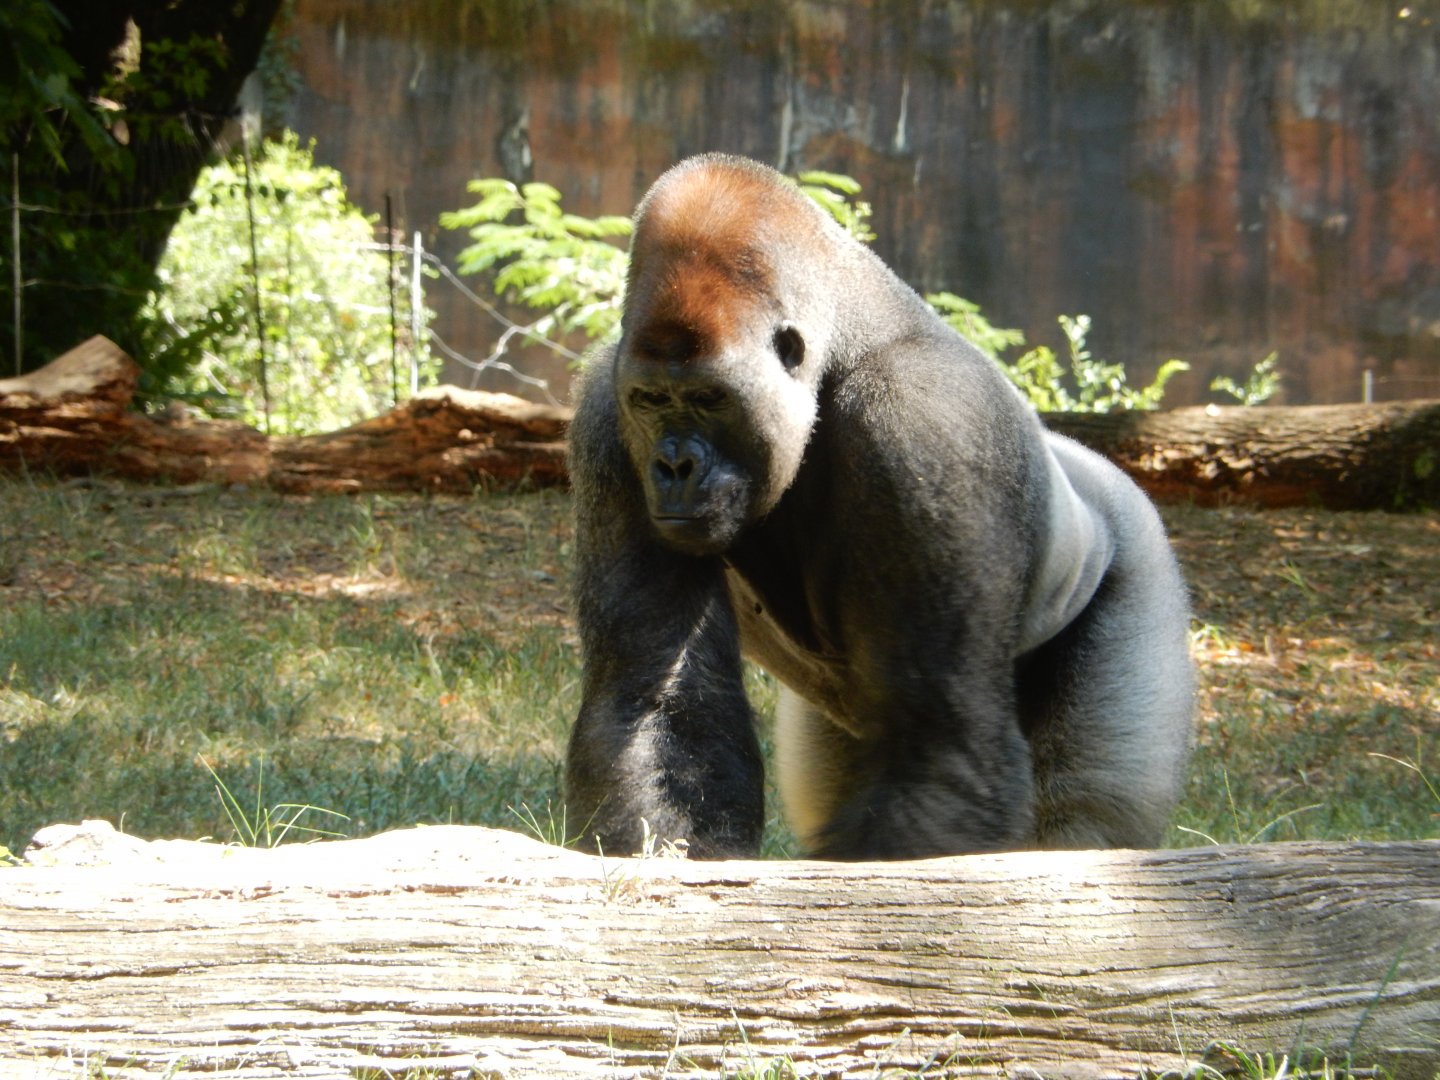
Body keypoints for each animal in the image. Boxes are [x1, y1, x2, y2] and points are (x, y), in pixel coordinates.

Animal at [563, 153, 1194, 861]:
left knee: (1087, 824)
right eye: (649, 401)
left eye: (708, 399)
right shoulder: (605, 415)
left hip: (1138, 559)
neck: (841, 348)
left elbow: (940, 747)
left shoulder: (927, 420)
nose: (673, 468)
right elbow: (656, 703)